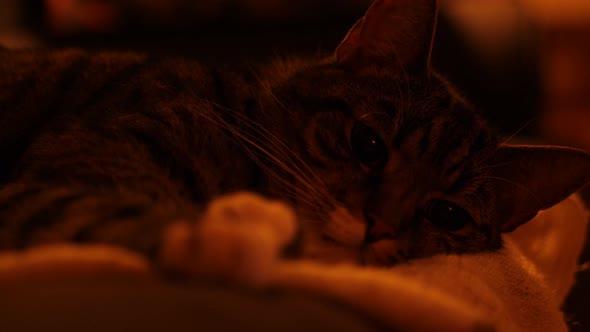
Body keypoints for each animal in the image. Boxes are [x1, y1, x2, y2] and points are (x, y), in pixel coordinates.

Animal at [1, 0, 590, 280]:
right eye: (368, 145)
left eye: (447, 215)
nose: (378, 226)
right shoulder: (73, 165)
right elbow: (104, 205)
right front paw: (227, 237)